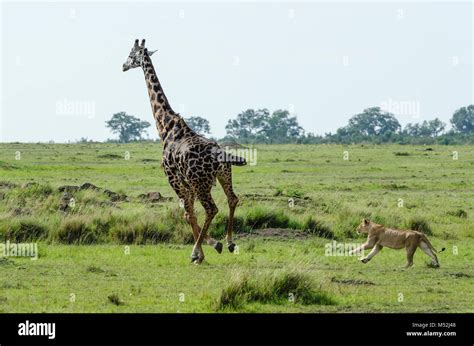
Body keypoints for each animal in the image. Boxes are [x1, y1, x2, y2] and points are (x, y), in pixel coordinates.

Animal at [122, 39, 246, 264]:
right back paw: (230, 242)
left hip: (201, 182)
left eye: (131, 54)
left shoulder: (173, 178)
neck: (165, 126)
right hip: (223, 175)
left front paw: (201, 252)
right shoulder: (187, 183)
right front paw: (212, 246)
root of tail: (220, 154)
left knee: (211, 208)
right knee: (232, 199)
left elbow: (188, 213)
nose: (123, 66)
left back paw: (202, 249)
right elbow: (190, 213)